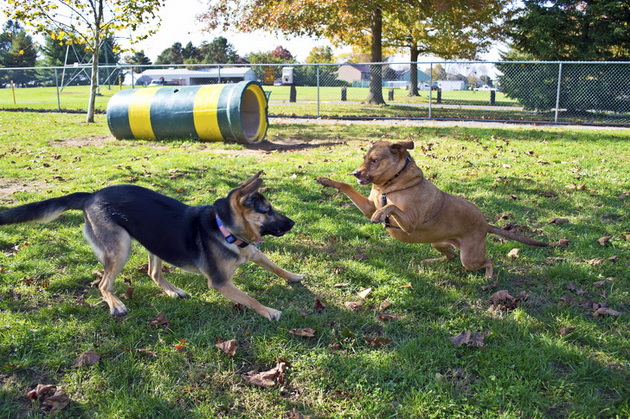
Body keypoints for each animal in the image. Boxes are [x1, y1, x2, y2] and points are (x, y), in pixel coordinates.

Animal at [0, 172, 304, 320]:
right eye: (267, 211)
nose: (292, 223)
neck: (224, 228)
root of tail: (92, 195)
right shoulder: (220, 283)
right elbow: (250, 299)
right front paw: (269, 311)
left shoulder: (253, 251)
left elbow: (275, 266)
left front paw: (294, 276)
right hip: (121, 249)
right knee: (103, 284)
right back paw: (116, 305)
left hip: (153, 241)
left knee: (153, 273)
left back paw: (173, 291)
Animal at [318, 141, 552, 278]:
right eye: (364, 158)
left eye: (374, 160)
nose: (356, 173)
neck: (392, 185)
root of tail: (486, 224)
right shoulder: (367, 205)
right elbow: (346, 187)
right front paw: (327, 180)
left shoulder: (409, 223)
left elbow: (391, 206)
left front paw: (381, 213)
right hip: (438, 243)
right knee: (450, 255)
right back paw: (432, 261)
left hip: (470, 258)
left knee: (488, 261)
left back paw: (488, 277)